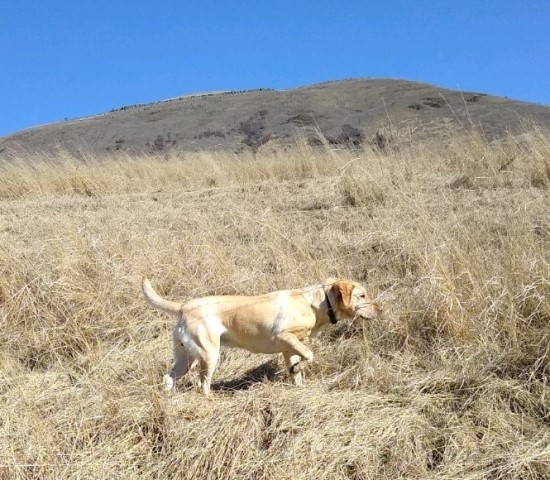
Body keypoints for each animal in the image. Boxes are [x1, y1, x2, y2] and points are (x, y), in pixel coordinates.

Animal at [142, 278, 384, 394]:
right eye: (362, 295)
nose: (381, 309)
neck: (318, 303)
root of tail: (184, 306)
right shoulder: (283, 337)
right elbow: (309, 354)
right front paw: (300, 367)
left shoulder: (288, 349)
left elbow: (297, 369)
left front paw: (298, 382)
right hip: (209, 355)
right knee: (203, 384)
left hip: (186, 359)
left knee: (168, 377)